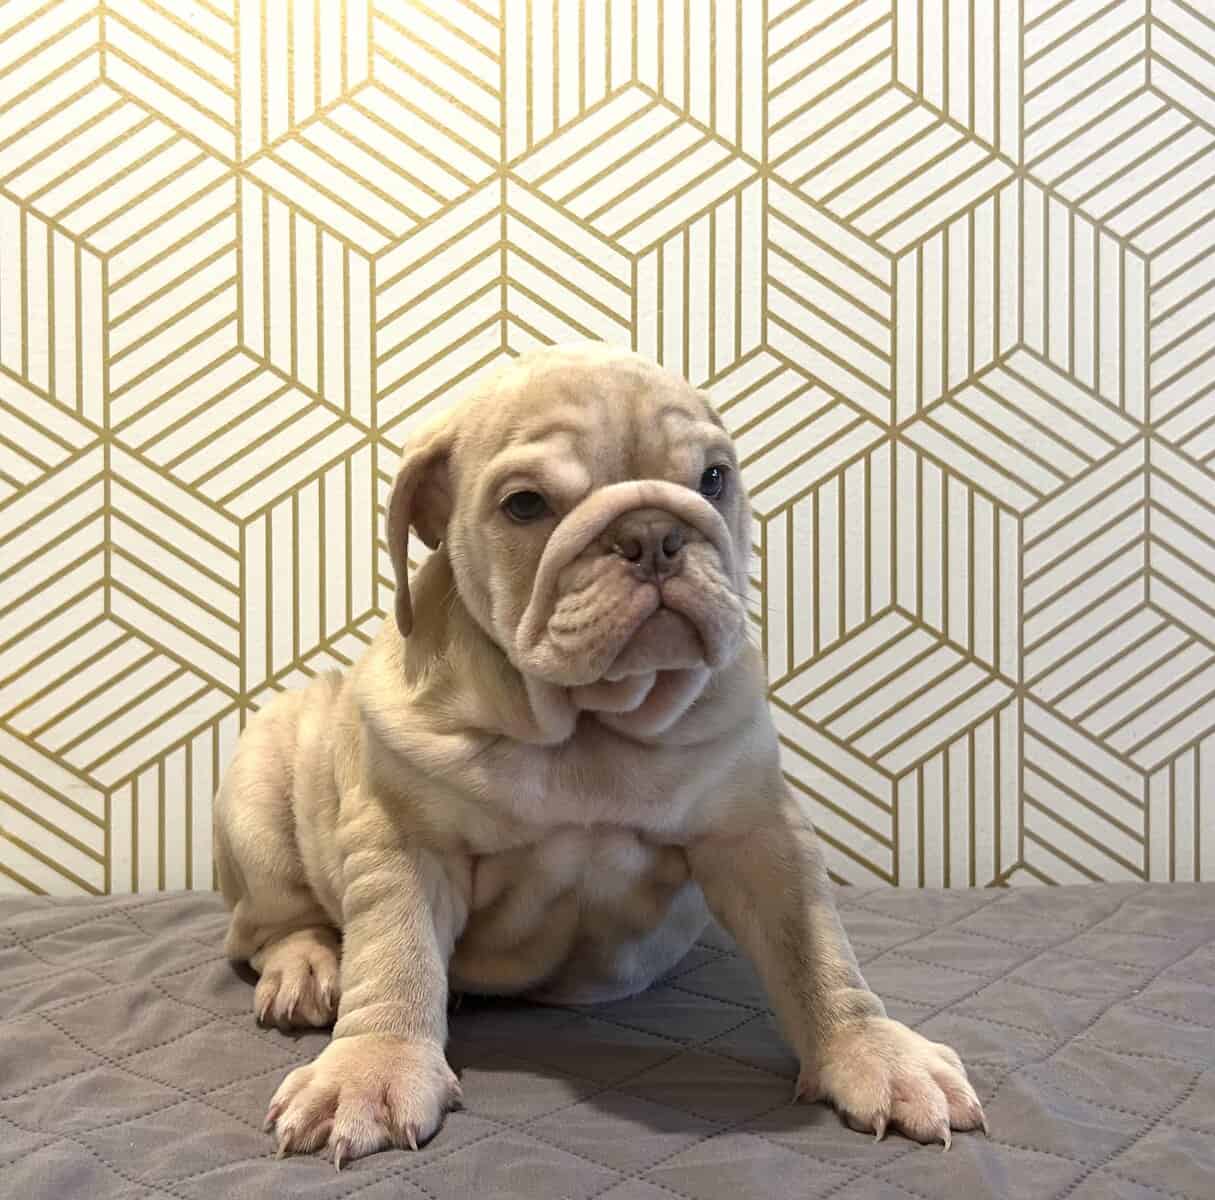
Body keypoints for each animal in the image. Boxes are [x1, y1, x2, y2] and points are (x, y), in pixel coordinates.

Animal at [215, 342, 986, 1167]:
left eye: (714, 478)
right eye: (524, 505)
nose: (651, 534)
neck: (589, 723)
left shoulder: (759, 833)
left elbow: (815, 953)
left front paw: (871, 1051)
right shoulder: (402, 843)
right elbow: (395, 954)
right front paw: (372, 1068)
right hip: (257, 789)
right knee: (269, 924)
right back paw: (305, 969)